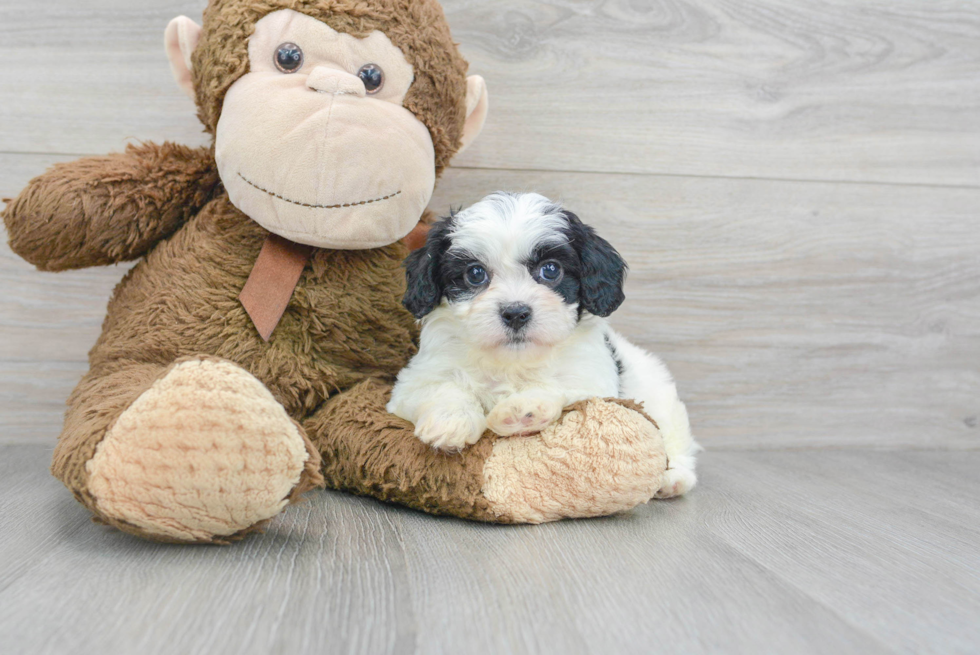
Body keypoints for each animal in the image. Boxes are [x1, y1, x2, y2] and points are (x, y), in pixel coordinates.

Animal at [386, 192, 700, 500]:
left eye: (550, 270)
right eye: (474, 274)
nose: (515, 313)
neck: (513, 361)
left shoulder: (590, 380)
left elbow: (561, 389)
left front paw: (525, 409)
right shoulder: (416, 379)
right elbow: (442, 388)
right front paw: (450, 421)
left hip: (658, 395)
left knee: (672, 436)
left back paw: (673, 478)